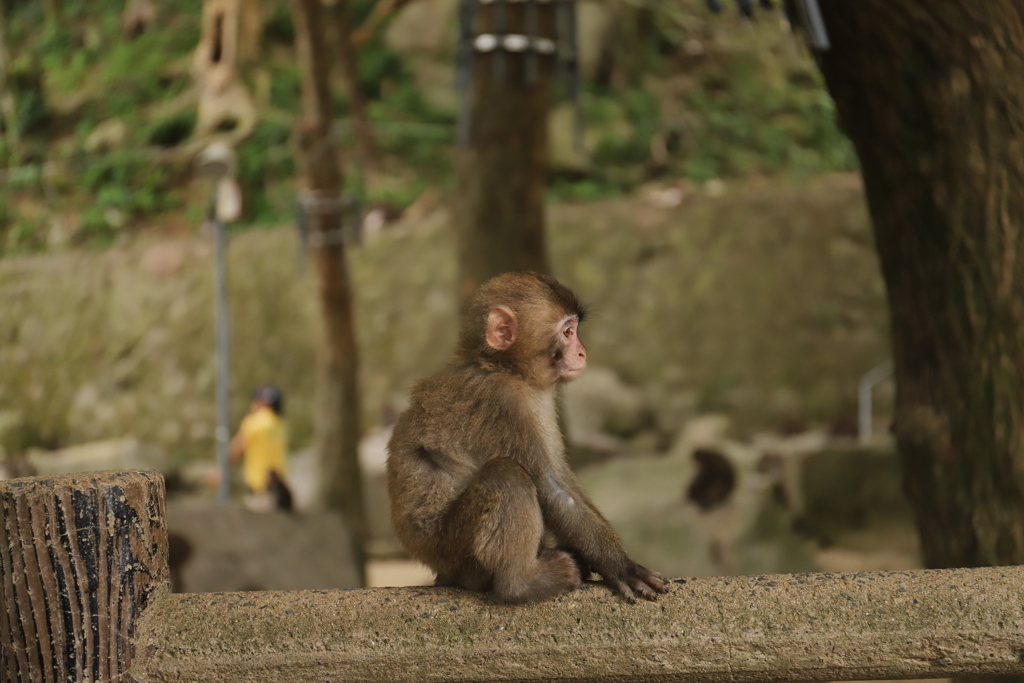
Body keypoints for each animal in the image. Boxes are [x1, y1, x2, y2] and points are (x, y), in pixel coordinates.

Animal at [385, 272, 663, 602]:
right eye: (568, 332)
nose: (583, 352)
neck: (504, 368)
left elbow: (561, 477)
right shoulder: (504, 403)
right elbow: (550, 488)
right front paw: (622, 567)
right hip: (452, 548)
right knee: (506, 476)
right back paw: (521, 584)